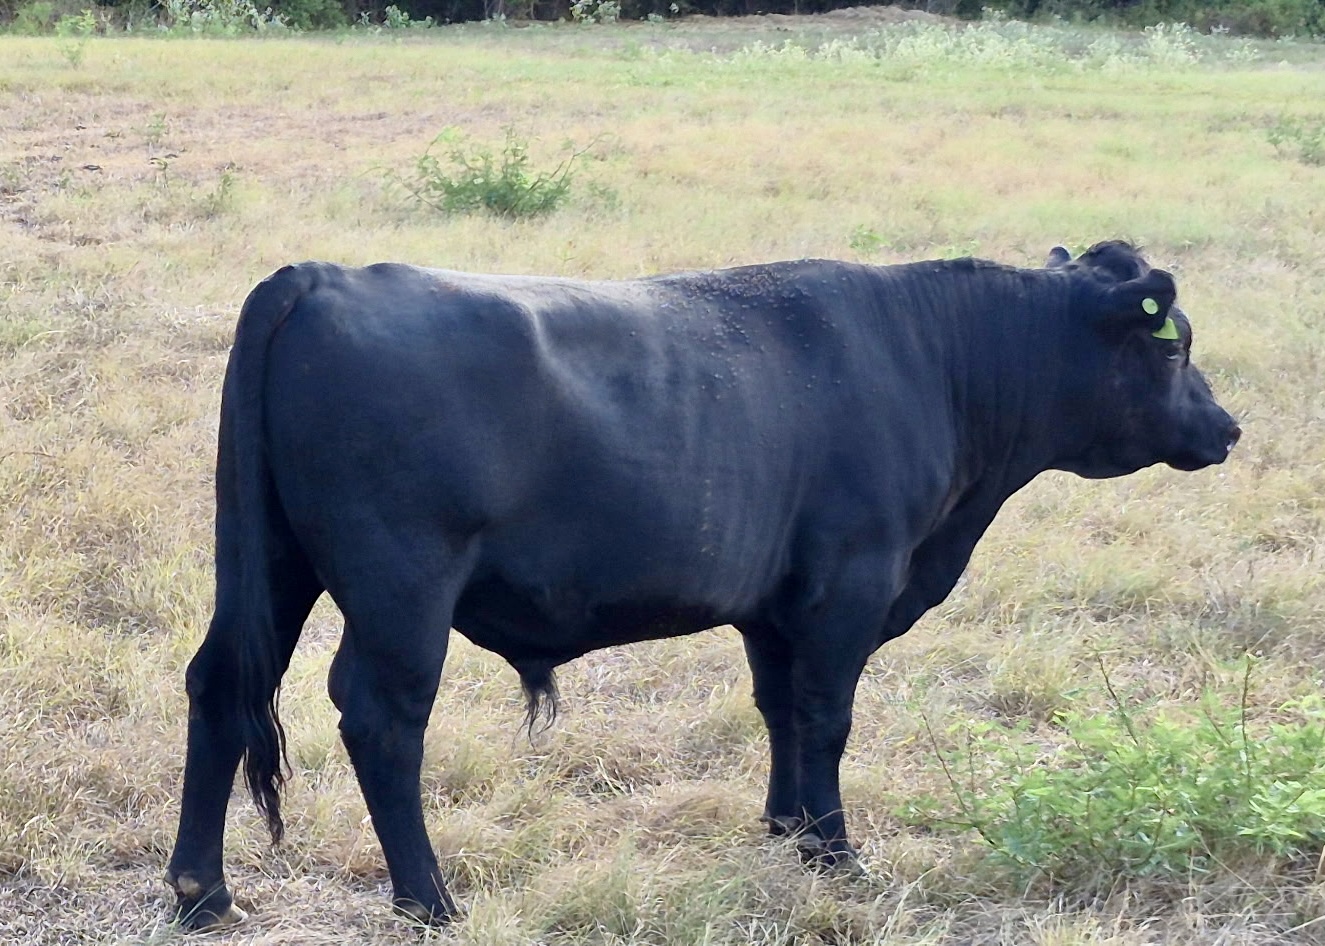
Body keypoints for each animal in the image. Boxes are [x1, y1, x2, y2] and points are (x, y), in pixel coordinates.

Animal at [164, 241, 1239, 929]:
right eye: (1172, 343)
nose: (1226, 427)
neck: (933, 359)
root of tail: (318, 276)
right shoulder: (849, 584)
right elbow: (826, 715)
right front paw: (835, 851)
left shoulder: (775, 606)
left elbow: (779, 710)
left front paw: (787, 828)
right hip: (401, 587)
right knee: (381, 719)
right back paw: (427, 898)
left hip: (268, 568)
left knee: (218, 686)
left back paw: (201, 894)